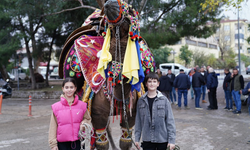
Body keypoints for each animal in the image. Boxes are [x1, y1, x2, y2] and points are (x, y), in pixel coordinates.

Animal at [59, 0, 155, 149]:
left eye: (130, 9)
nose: (110, 4)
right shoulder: (98, 114)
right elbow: (102, 143)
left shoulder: (132, 113)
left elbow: (125, 141)